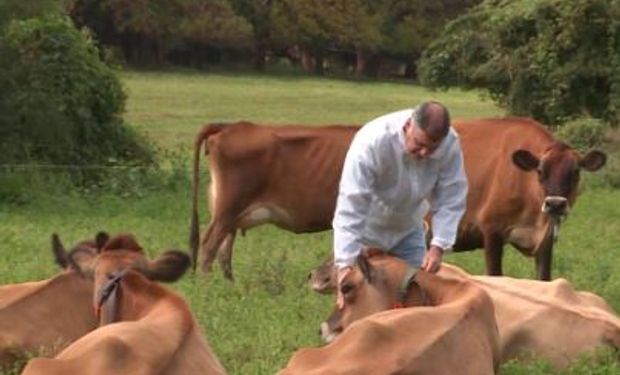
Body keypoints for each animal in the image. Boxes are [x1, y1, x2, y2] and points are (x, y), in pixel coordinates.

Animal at [190, 119, 604, 280]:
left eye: (575, 172)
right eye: (540, 171)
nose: (555, 204)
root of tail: (234, 125)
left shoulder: (545, 241)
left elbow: (544, 280)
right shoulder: (492, 231)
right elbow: (495, 276)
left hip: (232, 211)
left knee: (223, 248)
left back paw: (229, 285)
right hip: (227, 208)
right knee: (209, 246)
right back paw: (210, 289)